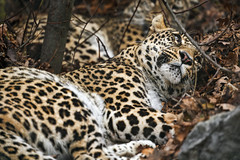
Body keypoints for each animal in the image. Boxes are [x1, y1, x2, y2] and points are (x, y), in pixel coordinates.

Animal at [0, 14, 202, 159]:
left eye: (198, 60)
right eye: (176, 38)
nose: (187, 58)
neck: (157, 85)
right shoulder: (124, 110)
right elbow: (171, 122)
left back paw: (141, 146)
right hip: (68, 100)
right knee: (90, 155)